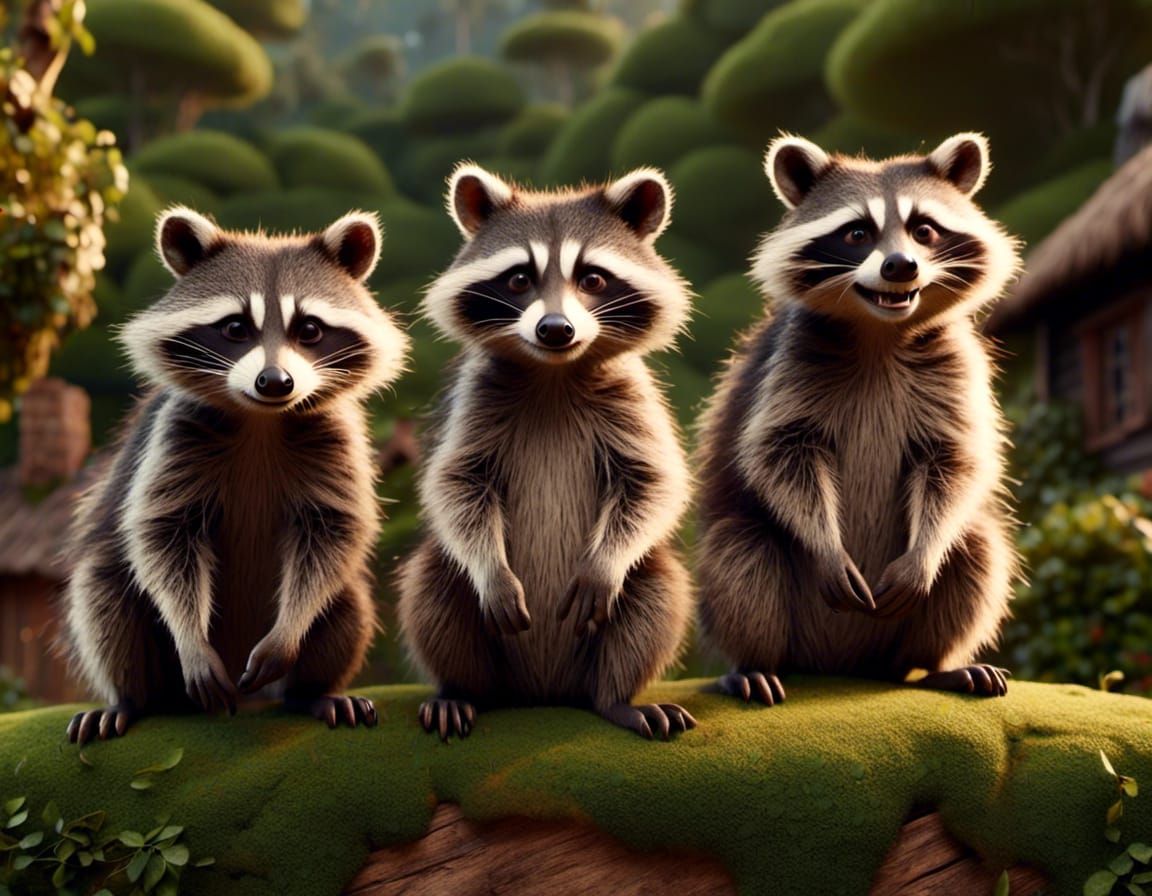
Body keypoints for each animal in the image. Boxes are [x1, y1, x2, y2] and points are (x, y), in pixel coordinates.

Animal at [62, 207, 409, 744]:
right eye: (234, 328)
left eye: (310, 329)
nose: (275, 382)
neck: (262, 419)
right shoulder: (176, 433)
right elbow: (164, 536)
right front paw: (190, 639)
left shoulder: (335, 438)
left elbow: (332, 532)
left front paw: (289, 633)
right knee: (102, 593)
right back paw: (131, 699)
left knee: (347, 602)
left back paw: (312, 692)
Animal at [397, 164, 696, 740]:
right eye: (518, 280)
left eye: (593, 279)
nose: (556, 329)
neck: (553, 372)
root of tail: (544, 692)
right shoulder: (476, 396)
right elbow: (455, 484)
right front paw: (492, 571)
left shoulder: (631, 396)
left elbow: (653, 481)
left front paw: (605, 562)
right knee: (432, 581)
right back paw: (461, 691)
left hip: (625, 611)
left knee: (659, 586)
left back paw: (617, 698)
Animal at [696, 133, 1021, 704]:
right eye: (856, 233)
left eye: (924, 230)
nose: (901, 267)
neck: (880, 332)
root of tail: (843, 667)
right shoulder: (791, 361)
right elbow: (781, 454)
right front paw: (825, 544)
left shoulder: (956, 366)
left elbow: (955, 462)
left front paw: (924, 553)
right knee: (739, 551)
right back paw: (752, 664)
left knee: (977, 547)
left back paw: (937, 664)